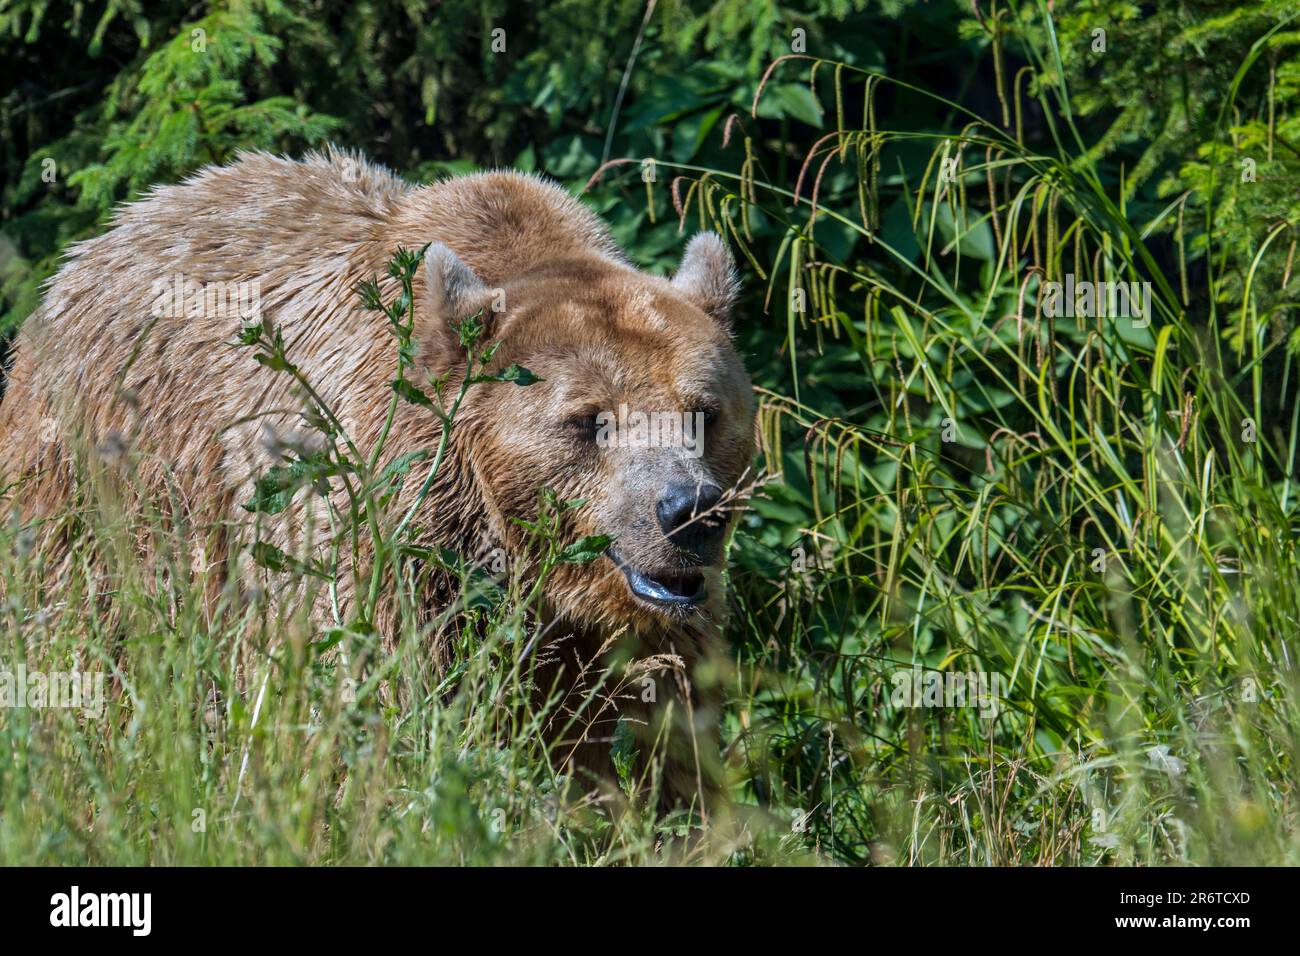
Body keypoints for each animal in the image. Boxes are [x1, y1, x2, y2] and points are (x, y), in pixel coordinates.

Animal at [0, 147, 756, 811]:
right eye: (590, 420)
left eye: (704, 413)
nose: (689, 511)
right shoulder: (376, 531)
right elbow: (371, 684)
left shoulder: (638, 621)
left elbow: (669, 714)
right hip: (103, 485)